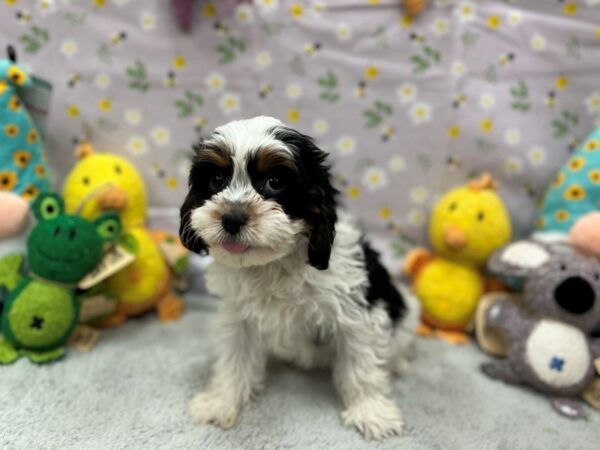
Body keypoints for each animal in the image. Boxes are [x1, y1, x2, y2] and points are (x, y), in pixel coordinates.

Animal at [180, 116, 420, 440]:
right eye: (217, 179)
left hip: (407, 308)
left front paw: (371, 412)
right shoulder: (237, 315)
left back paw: (397, 363)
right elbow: (234, 356)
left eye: (275, 182)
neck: (274, 264)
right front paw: (221, 402)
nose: (232, 218)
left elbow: (362, 363)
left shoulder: (356, 312)